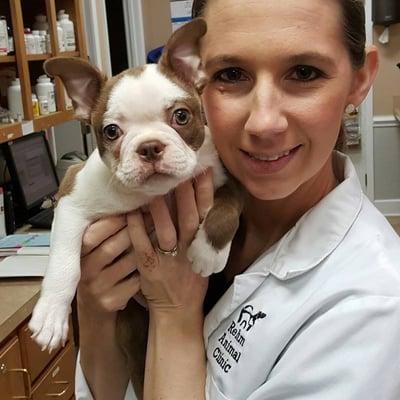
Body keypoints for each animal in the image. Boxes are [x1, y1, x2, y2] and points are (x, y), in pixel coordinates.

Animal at [28, 19, 242, 400]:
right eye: (112, 131)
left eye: (181, 116)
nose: (150, 147)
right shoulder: (71, 197)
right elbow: (64, 262)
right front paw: (52, 313)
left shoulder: (223, 177)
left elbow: (228, 210)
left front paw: (207, 253)